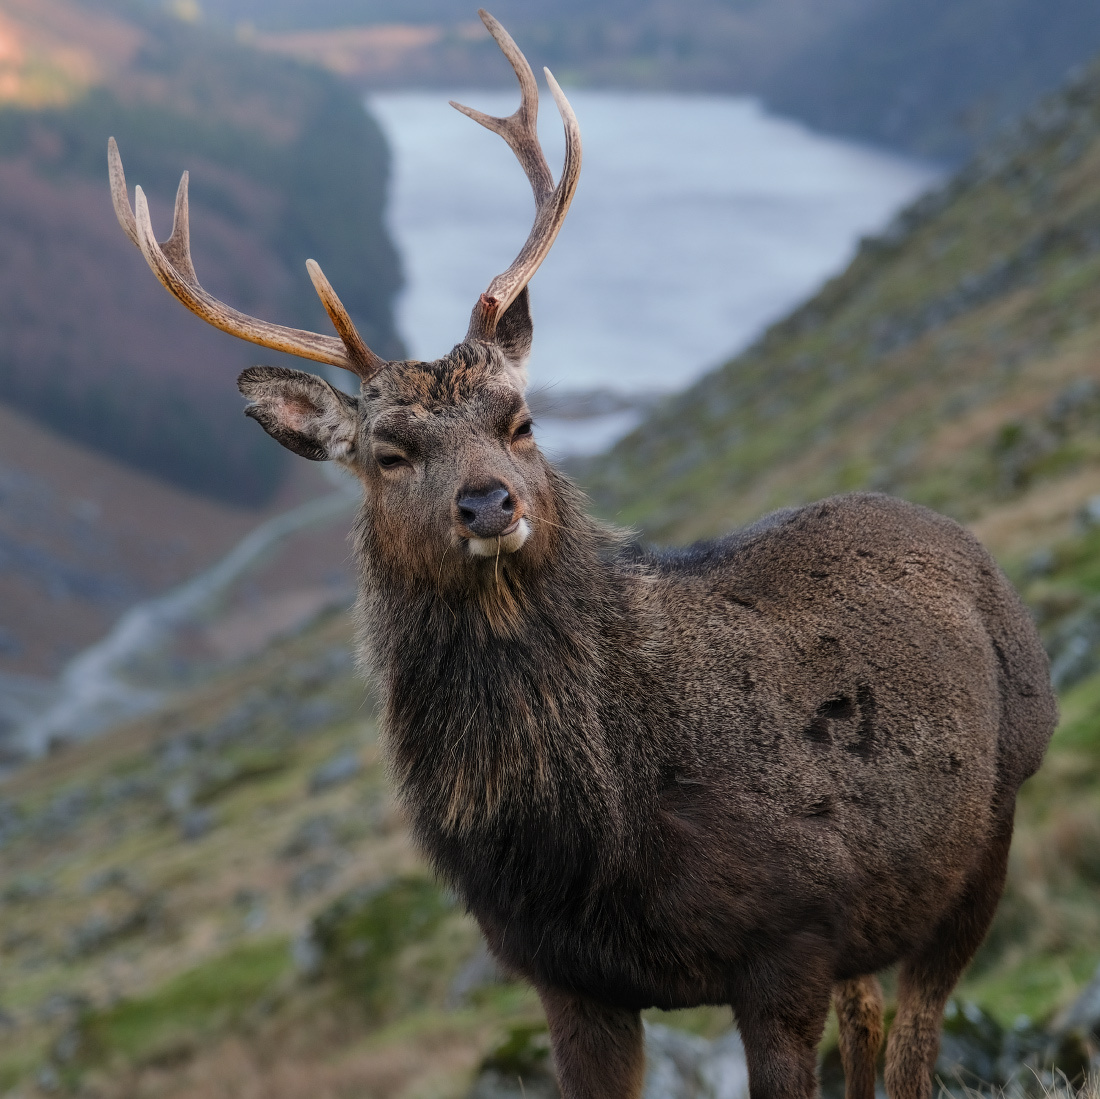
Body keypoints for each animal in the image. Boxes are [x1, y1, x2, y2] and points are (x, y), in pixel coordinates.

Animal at [107, 11, 1057, 1098]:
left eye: (519, 420)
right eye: (389, 452)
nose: (489, 502)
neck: (590, 840)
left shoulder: (789, 938)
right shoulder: (562, 975)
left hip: (985, 839)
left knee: (914, 1038)